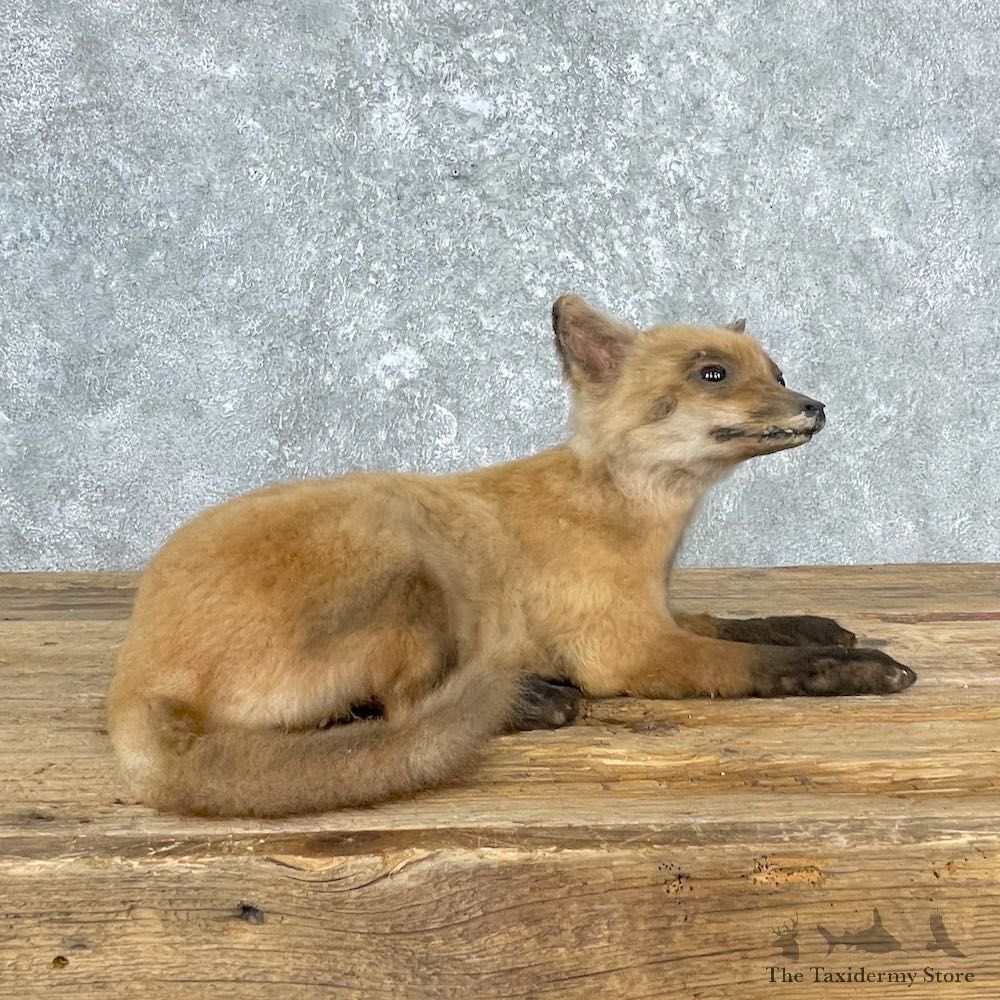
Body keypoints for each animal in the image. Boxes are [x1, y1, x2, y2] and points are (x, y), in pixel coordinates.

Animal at [107, 294, 916, 817]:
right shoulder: (626, 650)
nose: (816, 406)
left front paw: (816, 625)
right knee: (402, 711)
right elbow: (756, 662)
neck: (630, 523)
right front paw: (859, 668)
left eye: (776, 372)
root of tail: (134, 674)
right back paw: (533, 701)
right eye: (712, 374)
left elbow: (744, 625)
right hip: (406, 565)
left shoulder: (656, 612)